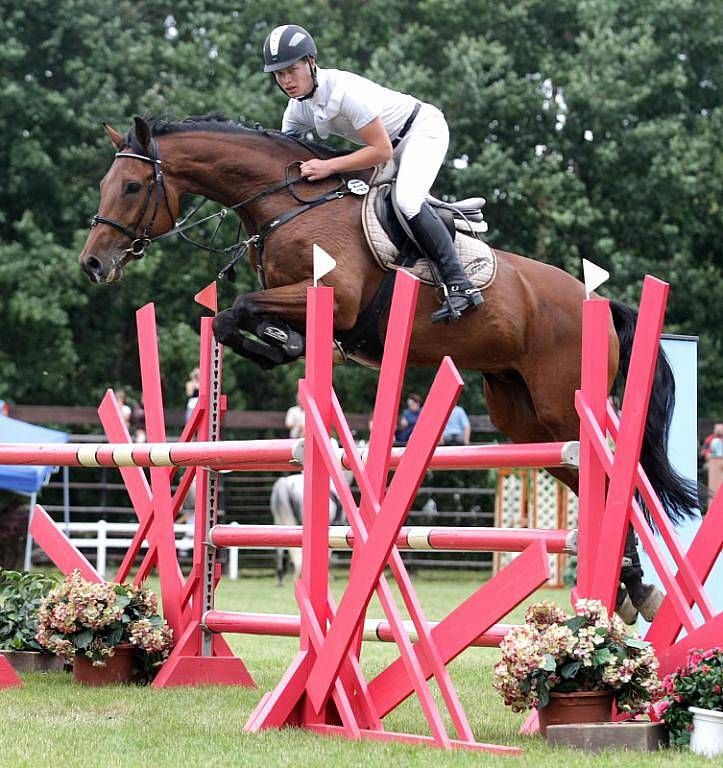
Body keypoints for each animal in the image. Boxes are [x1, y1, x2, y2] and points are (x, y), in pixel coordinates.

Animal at [79, 112, 700, 616]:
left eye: (132, 186)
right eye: (106, 185)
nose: (93, 264)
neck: (285, 207)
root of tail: (599, 301)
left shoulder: (336, 301)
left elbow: (241, 308)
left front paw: (280, 342)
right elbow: (232, 319)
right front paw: (279, 343)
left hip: (562, 409)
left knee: (615, 476)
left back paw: (632, 586)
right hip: (524, 419)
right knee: (590, 479)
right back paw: (629, 585)